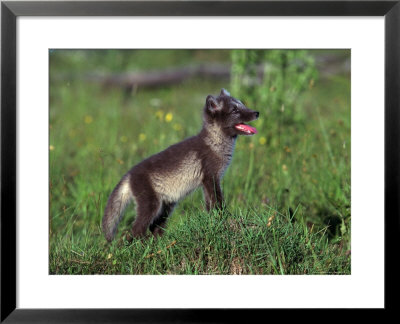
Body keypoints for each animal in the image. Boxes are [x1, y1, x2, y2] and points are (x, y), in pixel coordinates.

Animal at [103, 88, 260, 240]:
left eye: (242, 104)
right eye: (235, 110)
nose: (257, 113)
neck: (215, 143)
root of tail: (129, 174)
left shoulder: (207, 182)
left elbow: (210, 205)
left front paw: (214, 221)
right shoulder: (211, 177)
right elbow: (218, 203)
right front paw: (224, 219)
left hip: (167, 206)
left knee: (154, 228)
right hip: (151, 205)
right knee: (135, 231)